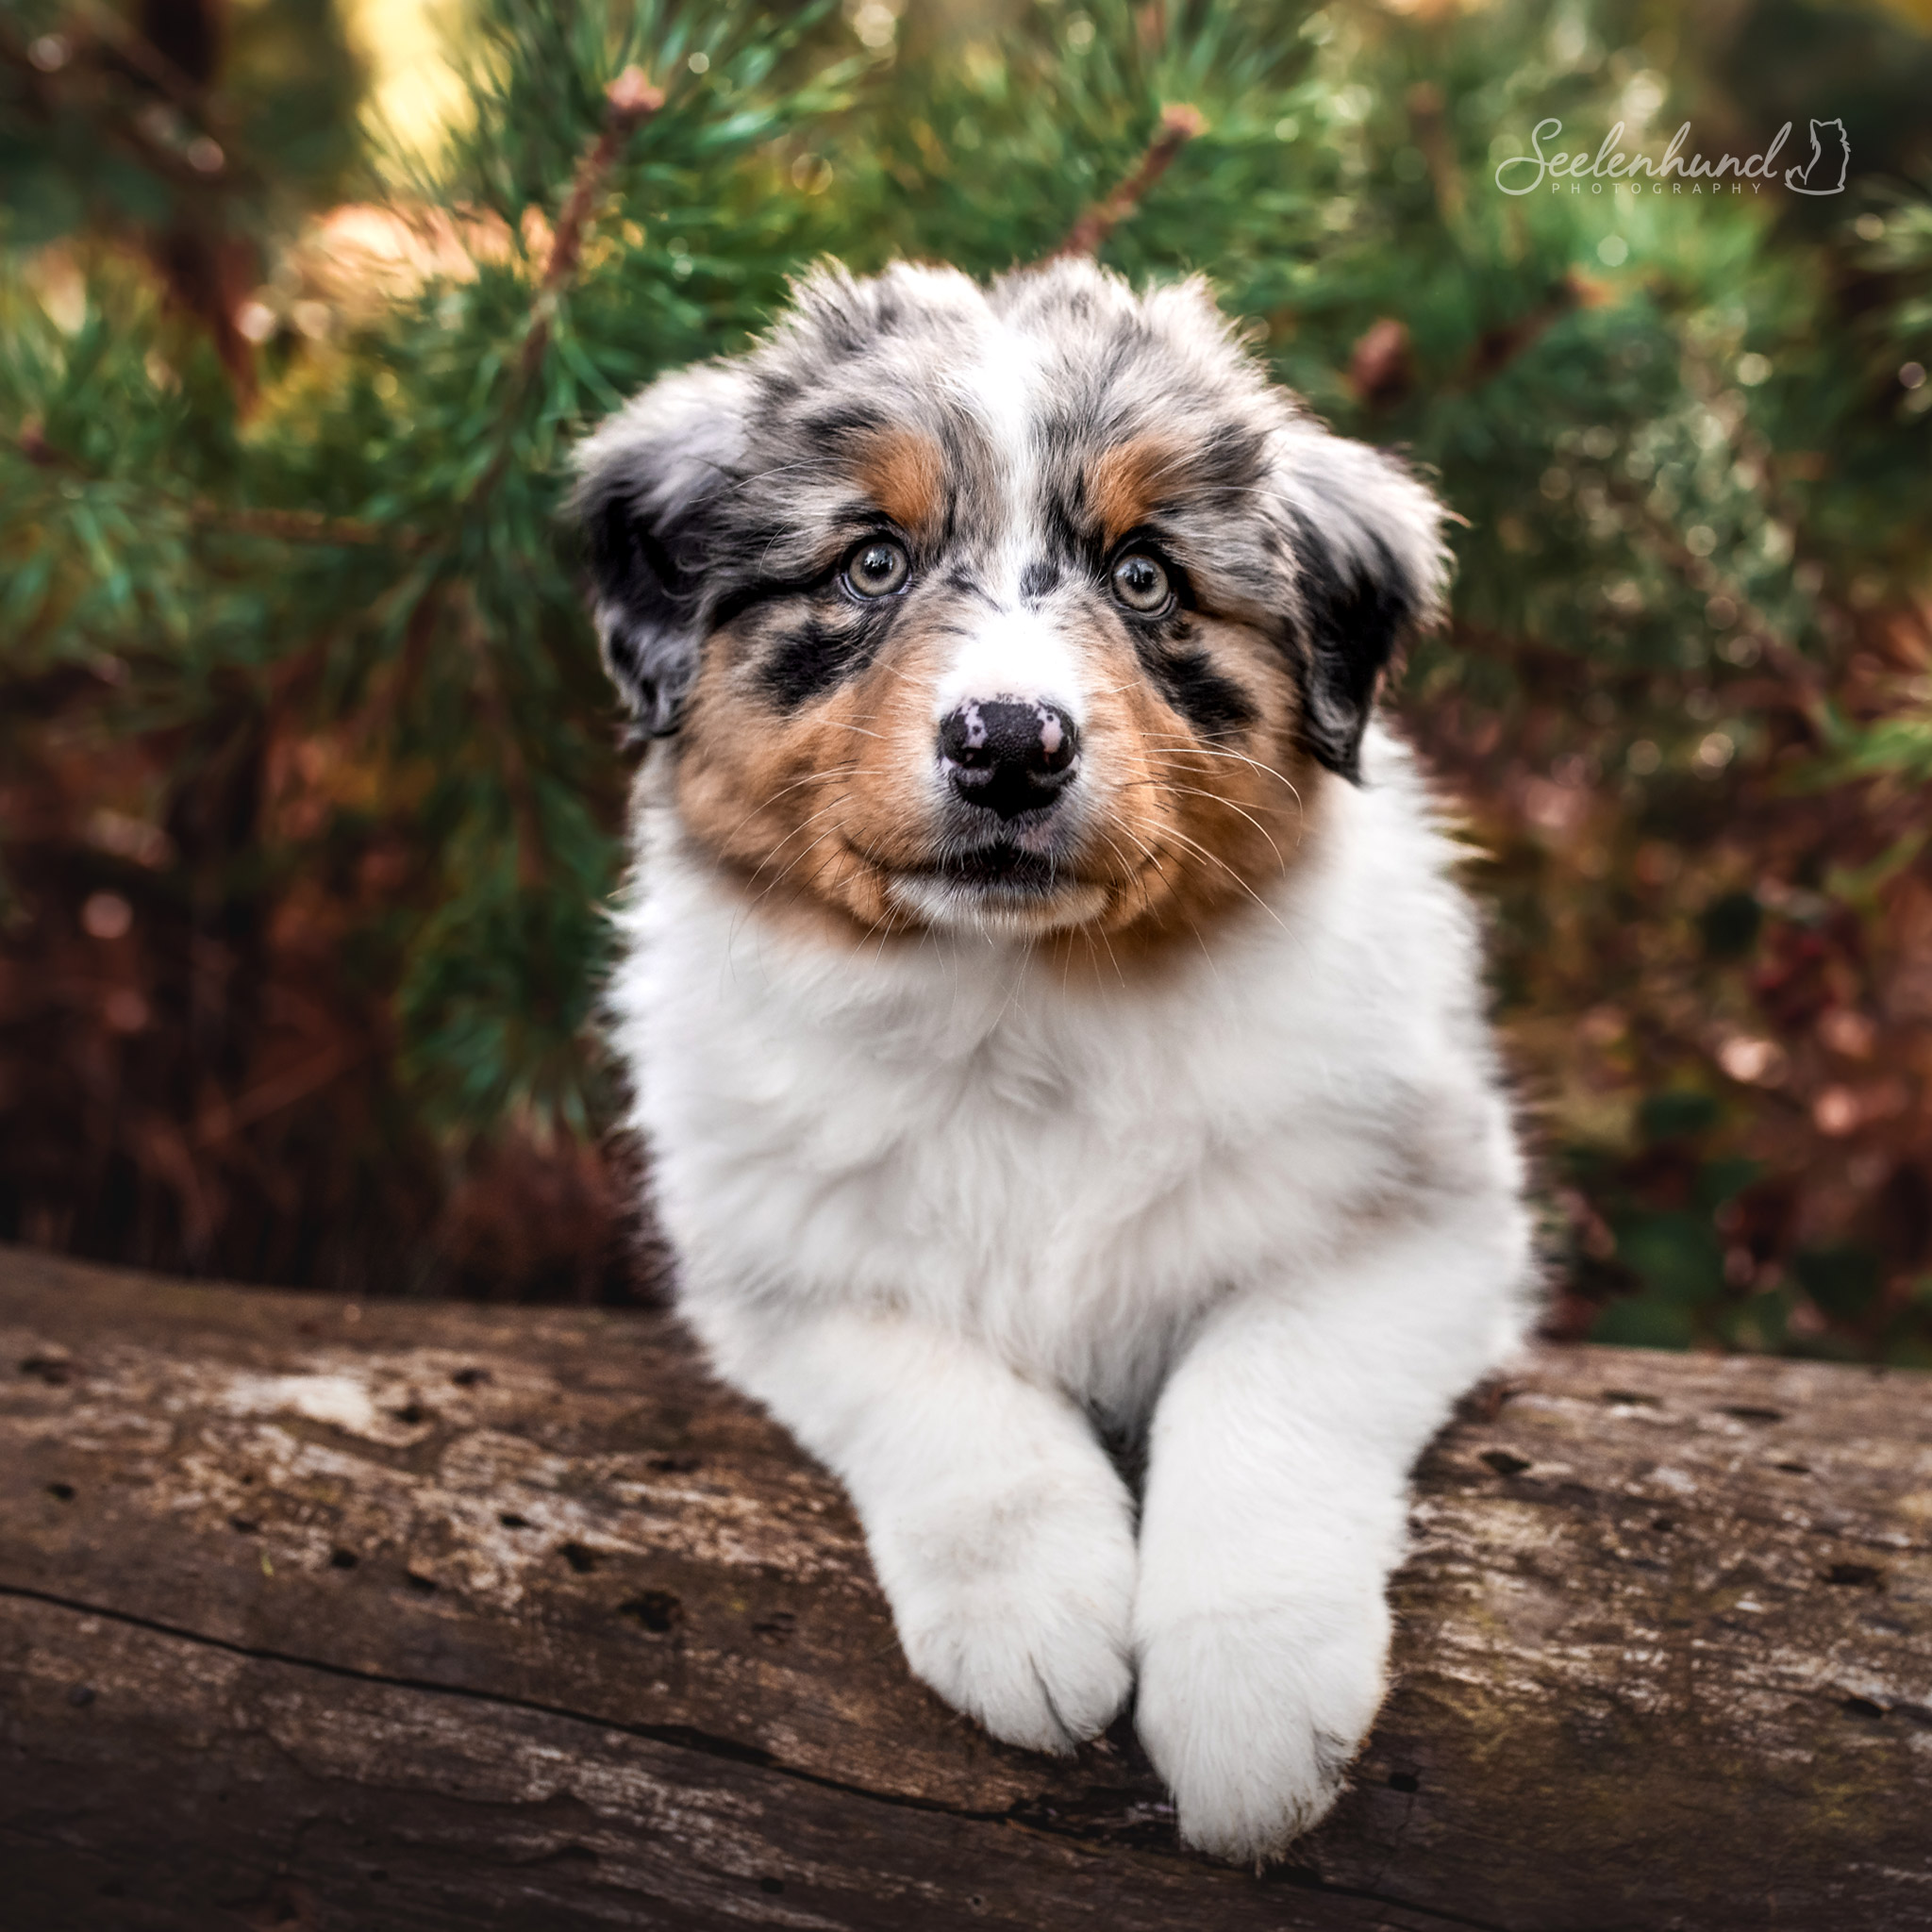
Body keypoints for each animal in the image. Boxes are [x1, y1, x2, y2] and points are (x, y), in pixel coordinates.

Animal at [564, 253, 1530, 1855]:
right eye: (870, 565)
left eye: (1145, 580)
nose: (1009, 744)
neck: (1021, 1000)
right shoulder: (772, 1252)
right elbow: (940, 1390)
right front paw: (1034, 1629)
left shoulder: (1420, 1213)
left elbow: (1264, 1380)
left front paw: (1251, 1712)